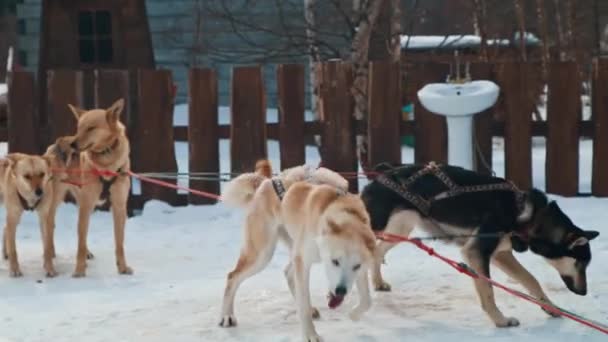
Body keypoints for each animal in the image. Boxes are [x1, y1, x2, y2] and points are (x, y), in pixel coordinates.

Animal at [61, 98, 132, 278]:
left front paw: (122, 267)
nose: (73, 144)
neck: (106, 161)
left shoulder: (119, 206)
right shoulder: (87, 205)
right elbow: (80, 242)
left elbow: (120, 242)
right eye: (79, 127)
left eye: (91, 128)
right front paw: (79, 270)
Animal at [221, 160, 378, 342]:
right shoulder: (303, 261)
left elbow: (367, 300)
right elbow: (303, 303)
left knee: (288, 272)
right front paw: (310, 334)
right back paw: (226, 316)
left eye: (356, 266)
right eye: (335, 261)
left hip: (291, 250)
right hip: (262, 255)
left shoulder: (360, 269)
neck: (344, 214)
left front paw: (354, 315)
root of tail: (266, 181)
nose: (340, 291)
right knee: (232, 276)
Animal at [358, 163, 600, 328]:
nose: (584, 292)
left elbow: (530, 280)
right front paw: (501, 320)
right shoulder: (477, 252)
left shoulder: (501, 254)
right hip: (379, 227)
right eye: (581, 263)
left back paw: (377, 283)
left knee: (376, 252)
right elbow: (488, 290)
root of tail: (379, 177)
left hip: (399, 231)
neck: (527, 215)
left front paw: (549, 306)